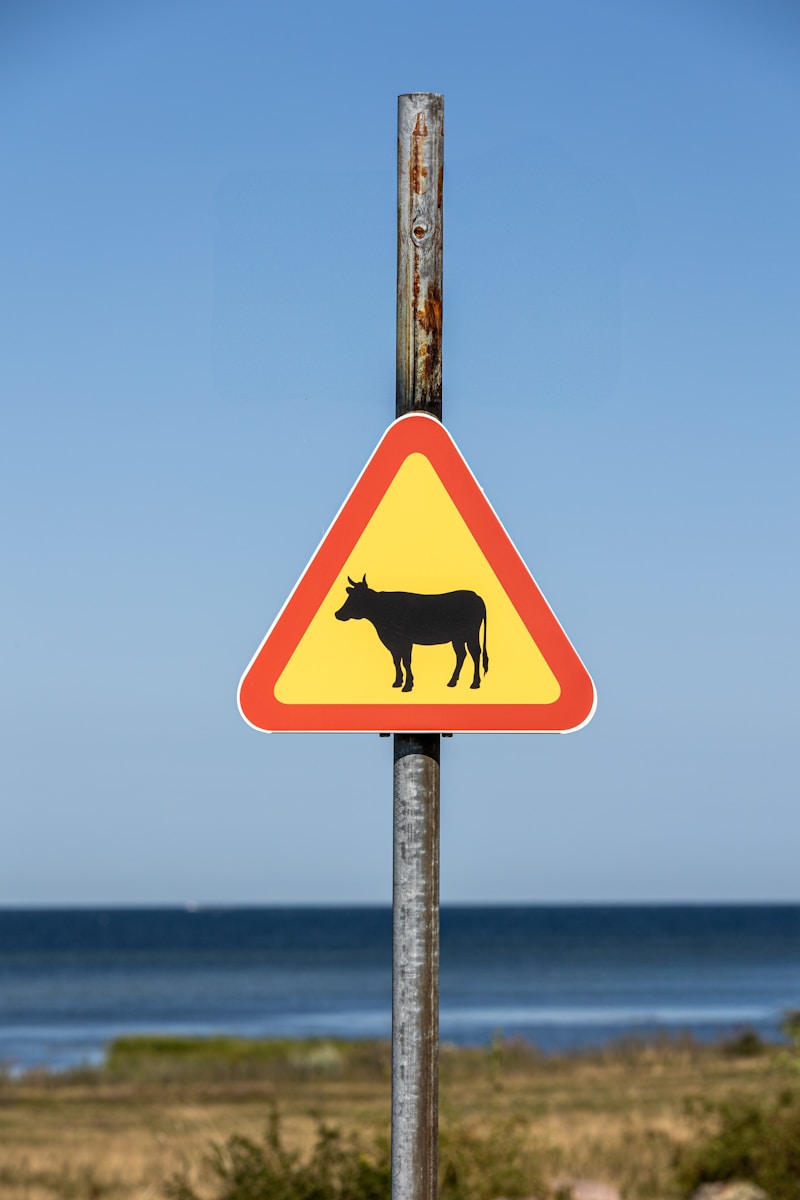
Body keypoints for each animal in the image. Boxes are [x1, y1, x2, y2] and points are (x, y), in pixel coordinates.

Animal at [334, 574, 488, 693]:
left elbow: (406, 662)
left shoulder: (405, 641)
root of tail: (476, 596)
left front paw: (408, 685)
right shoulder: (392, 643)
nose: (337, 614)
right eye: (350, 596)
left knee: (475, 653)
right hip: (457, 638)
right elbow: (397, 661)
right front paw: (398, 682)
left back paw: (475, 683)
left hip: (471, 633)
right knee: (461, 654)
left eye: (357, 597)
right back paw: (452, 681)